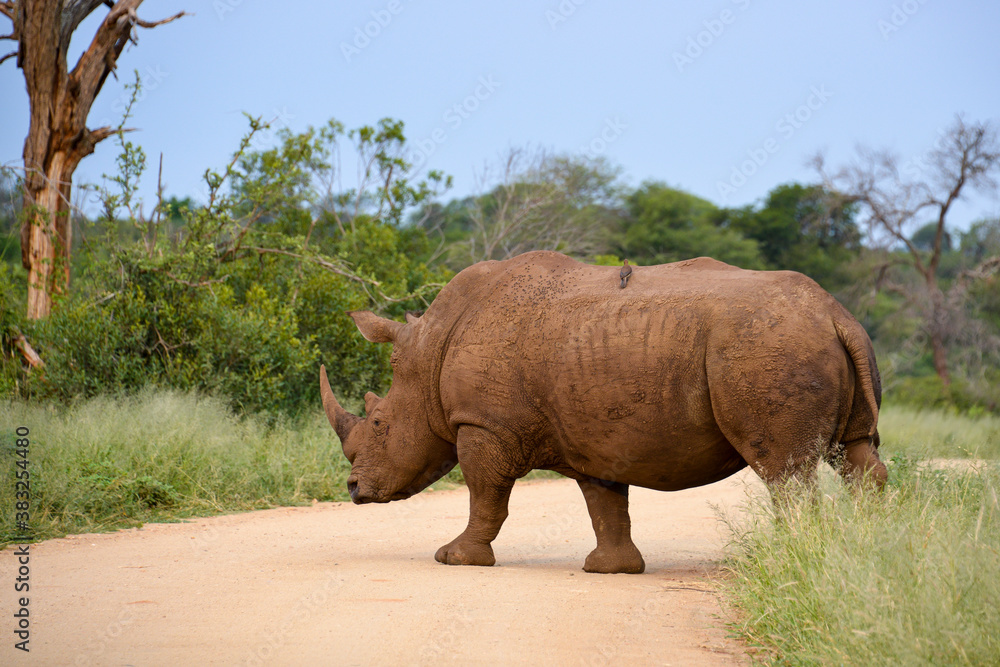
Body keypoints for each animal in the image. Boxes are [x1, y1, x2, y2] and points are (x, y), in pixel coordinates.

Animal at [320, 251, 886, 574]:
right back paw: (872, 542)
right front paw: (611, 570)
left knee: (785, 471)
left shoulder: (483, 423)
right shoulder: (596, 434)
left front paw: (454, 558)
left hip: (768, 345)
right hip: (804, 340)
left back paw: (790, 556)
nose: (353, 489)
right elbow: (605, 503)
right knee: (855, 454)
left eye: (378, 424)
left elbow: (485, 494)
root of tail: (836, 313)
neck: (430, 352)